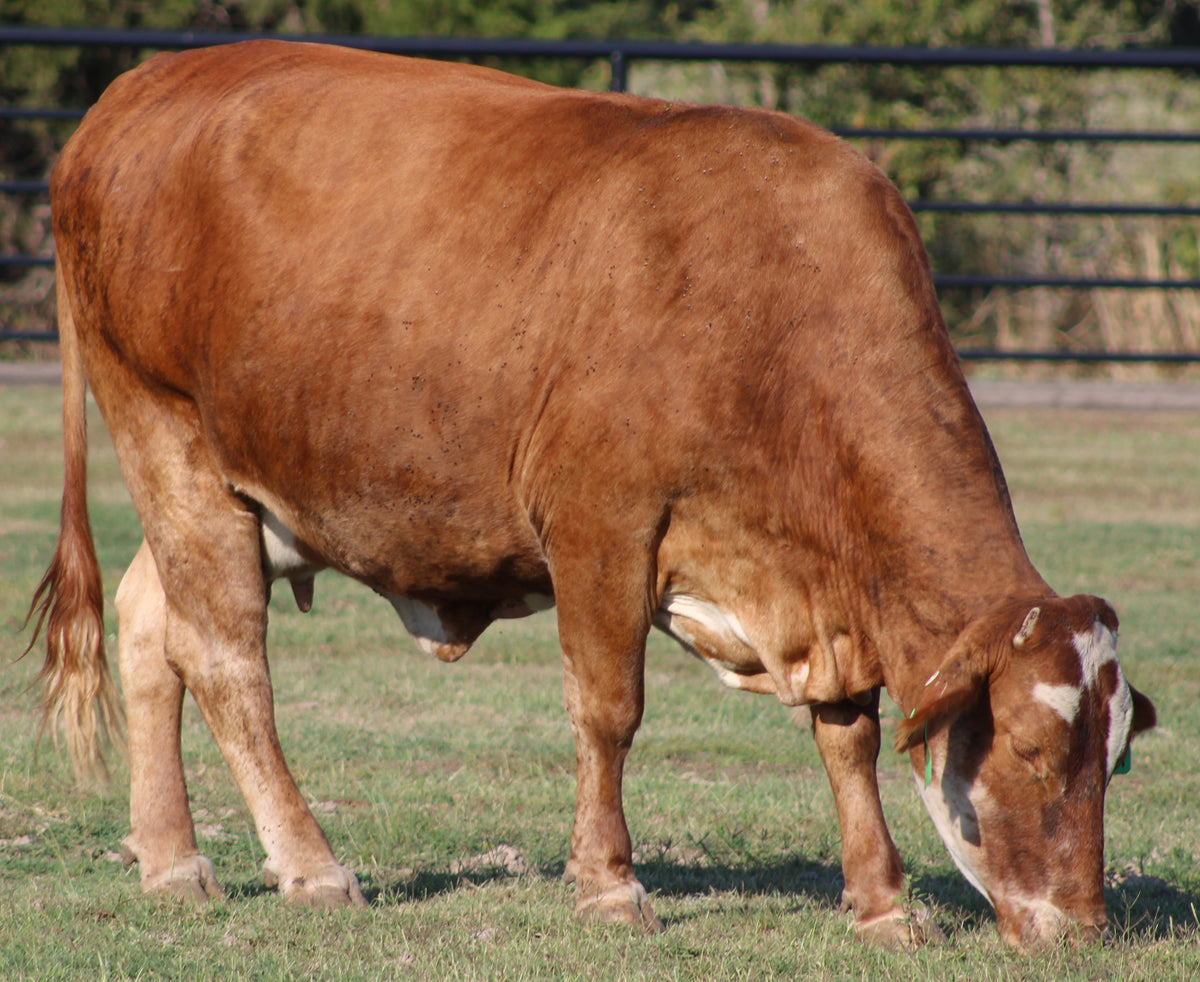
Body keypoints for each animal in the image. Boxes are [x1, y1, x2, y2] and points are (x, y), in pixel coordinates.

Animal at [28, 40, 1152, 950]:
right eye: (1032, 748)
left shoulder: (826, 584)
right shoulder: (602, 525)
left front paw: (882, 902)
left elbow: (849, 734)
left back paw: (173, 860)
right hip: (168, 437)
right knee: (226, 660)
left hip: (242, 488)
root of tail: (142, 86)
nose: (1085, 927)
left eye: (1117, 758)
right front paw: (610, 884)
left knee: (149, 622)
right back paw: (310, 866)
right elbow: (609, 709)